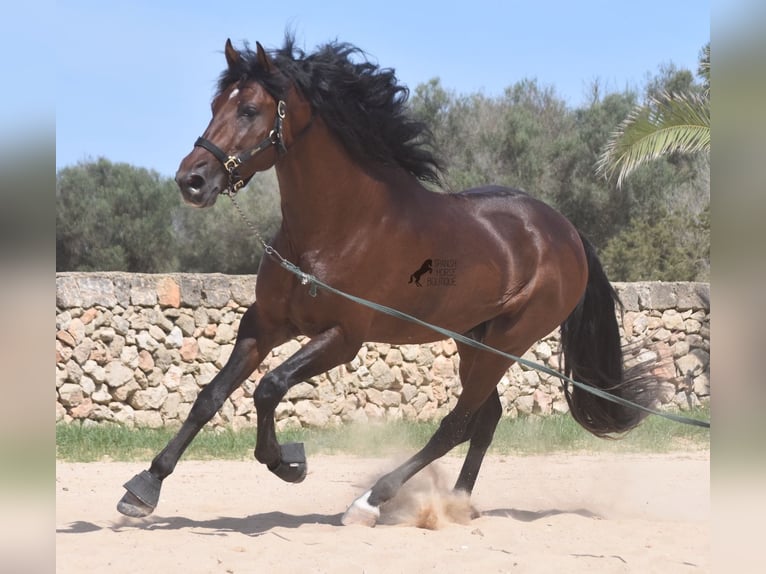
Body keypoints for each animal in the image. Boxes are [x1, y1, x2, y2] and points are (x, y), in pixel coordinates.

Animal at [115, 36, 664, 528]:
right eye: (215, 105)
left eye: (249, 109)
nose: (192, 181)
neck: (337, 227)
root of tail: (567, 232)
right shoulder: (266, 322)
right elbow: (210, 396)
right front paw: (145, 488)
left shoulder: (344, 337)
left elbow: (268, 388)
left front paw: (288, 462)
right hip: (474, 341)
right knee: (485, 419)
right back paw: (457, 505)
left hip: (509, 341)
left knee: (457, 424)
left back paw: (372, 501)